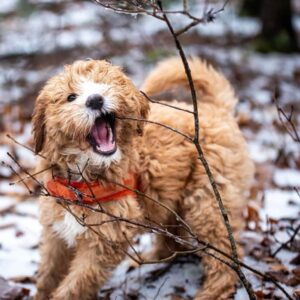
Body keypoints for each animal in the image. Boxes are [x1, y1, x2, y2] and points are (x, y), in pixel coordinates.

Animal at [32, 56, 253, 300]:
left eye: (104, 84)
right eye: (70, 97)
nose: (96, 100)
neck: (82, 182)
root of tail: (215, 109)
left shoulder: (106, 241)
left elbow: (75, 285)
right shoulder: (56, 233)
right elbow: (48, 275)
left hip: (206, 200)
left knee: (225, 253)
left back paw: (212, 291)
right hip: (170, 201)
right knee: (172, 240)